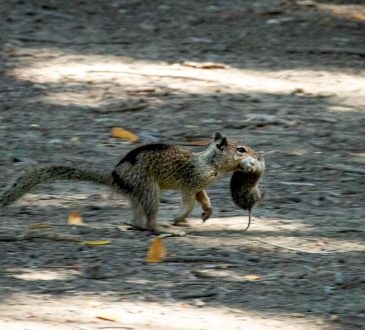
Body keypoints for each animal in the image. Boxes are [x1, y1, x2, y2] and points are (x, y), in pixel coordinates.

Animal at [0, 133, 258, 233]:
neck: (210, 163)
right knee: (150, 217)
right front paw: (180, 218)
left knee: (137, 216)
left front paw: (207, 212)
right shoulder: (190, 181)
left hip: (137, 194)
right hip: (149, 189)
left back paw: (136, 225)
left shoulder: (200, 185)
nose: (258, 155)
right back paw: (161, 228)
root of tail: (114, 178)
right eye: (241, 149)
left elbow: (203, 197)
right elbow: (188, 202)